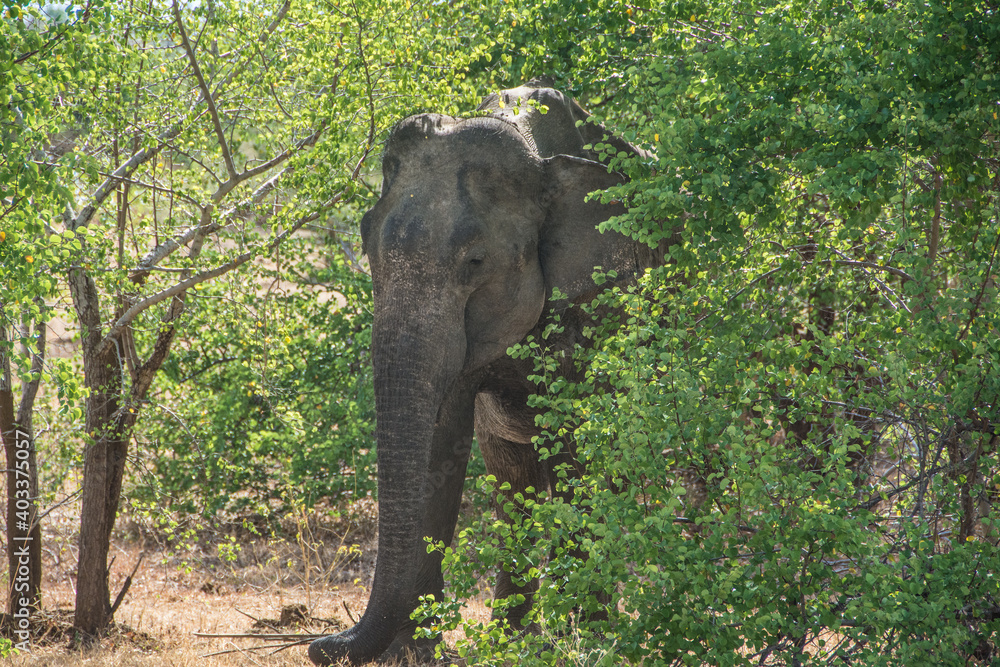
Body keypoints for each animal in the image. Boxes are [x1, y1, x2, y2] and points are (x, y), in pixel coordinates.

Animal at [309, 83, 668, 666]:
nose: (322, 645)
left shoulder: (602, 292)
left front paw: (587, 641)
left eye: (475, 261)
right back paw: (511, 637)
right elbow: (441, 444)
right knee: (513, 488)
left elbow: (577, 449)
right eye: (367, 246)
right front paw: (413, 651)